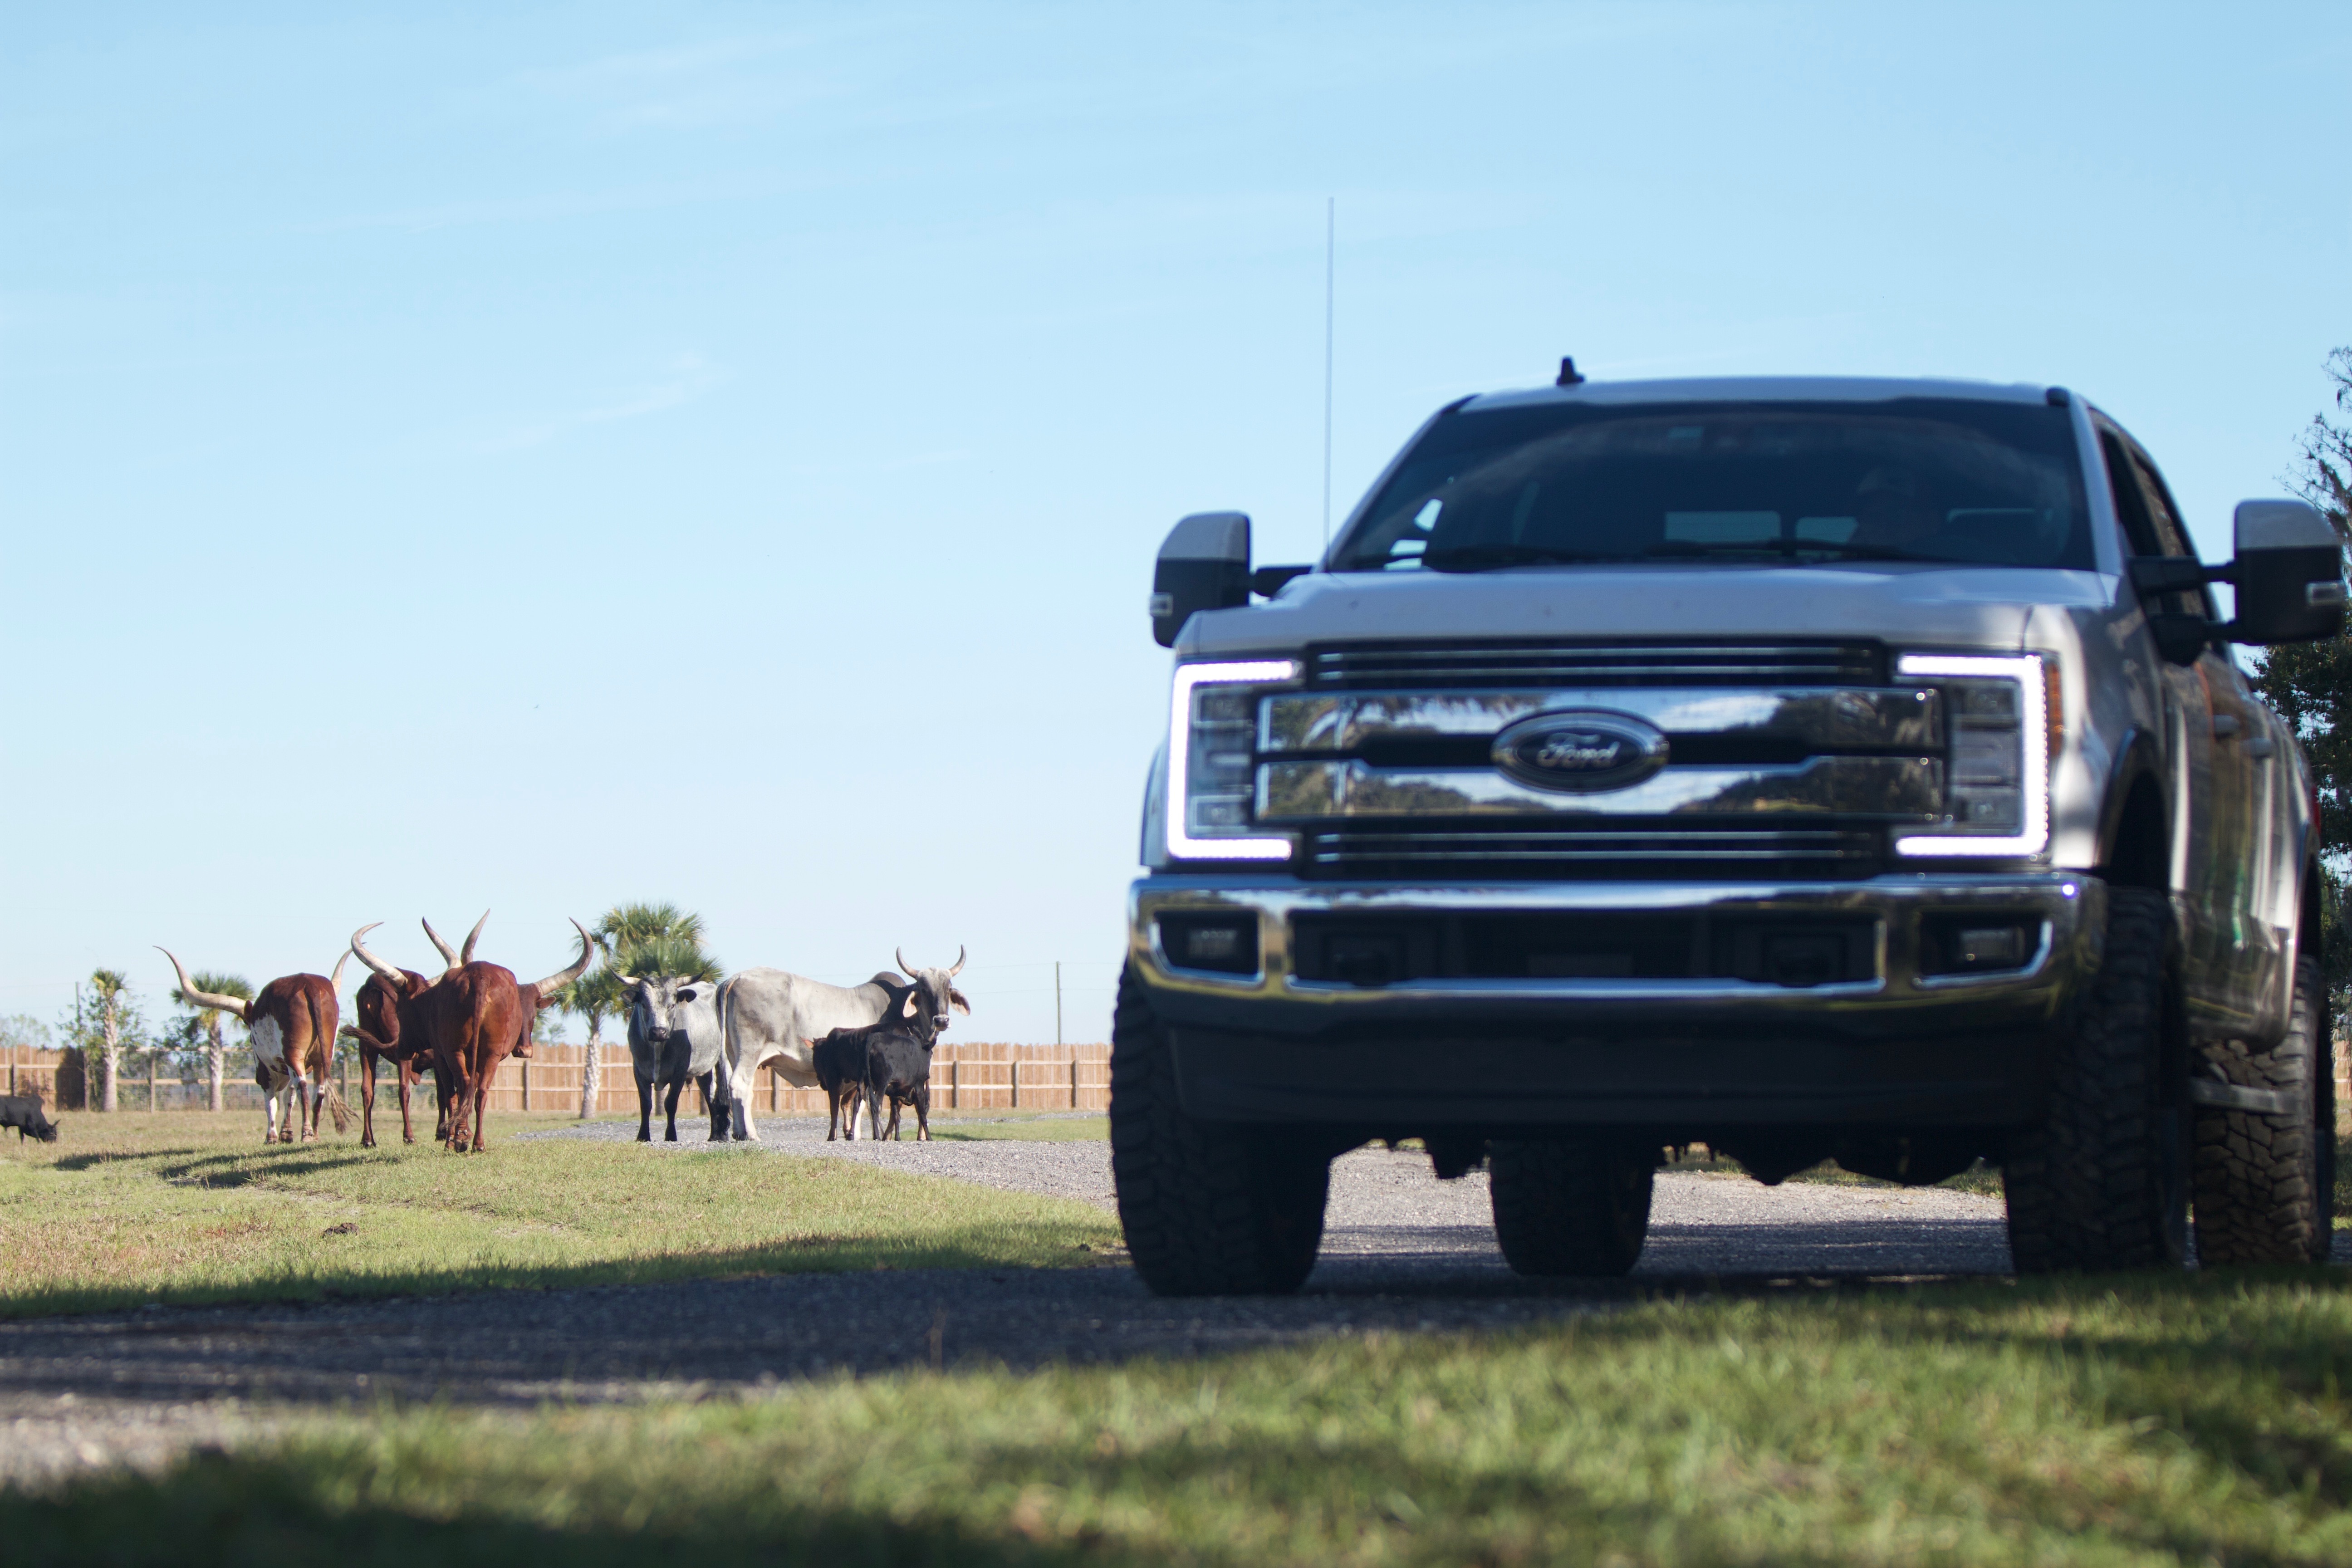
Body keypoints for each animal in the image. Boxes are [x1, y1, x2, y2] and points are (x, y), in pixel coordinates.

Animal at [161, 950, 355, 1147]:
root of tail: (309, 985)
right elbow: (289, 1096)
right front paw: (286, 1133)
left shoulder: (265, 1071)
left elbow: (271, 1102)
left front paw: (272, 1137)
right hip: (324, 1057)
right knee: (318, 1091)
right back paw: (314, 1134)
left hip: (293, 1054)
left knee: (302, 1089)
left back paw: (307, 1133)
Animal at [720, 945, 969, 1142]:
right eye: (923, 990)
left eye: (948, 989)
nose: (942, 1020)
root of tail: (736, 978)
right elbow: (872, 1102)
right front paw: (862, 1135)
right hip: (750, 1051)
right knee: (741, 1086)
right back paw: (751, 1134)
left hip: (733, 1053)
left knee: (736, 1088)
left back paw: (738, 1133)